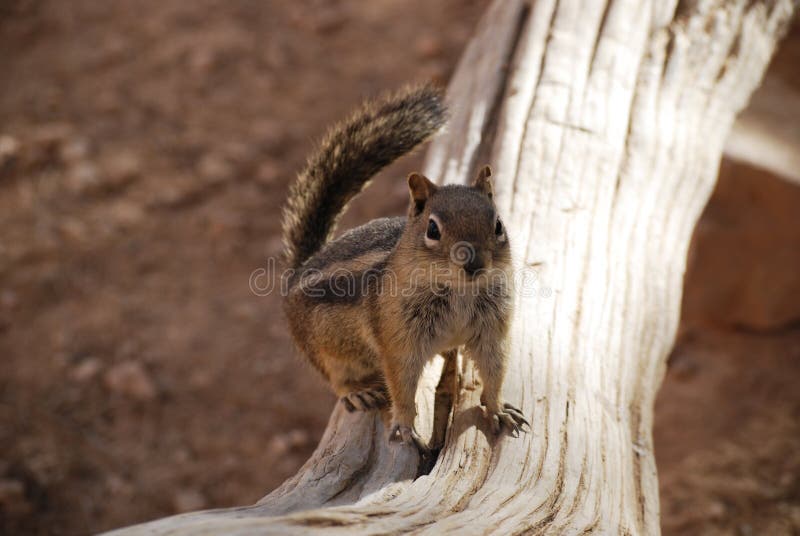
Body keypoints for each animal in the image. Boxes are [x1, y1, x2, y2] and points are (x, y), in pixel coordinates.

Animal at [282, 82, 532, 452]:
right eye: (433, 230)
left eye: (498, 224)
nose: (474, 263)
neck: (459, 291)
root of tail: (300, 269)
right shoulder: (400, 339)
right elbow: (401, 384)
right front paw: (402, 426)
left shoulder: (492, 330)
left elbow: (494, 371)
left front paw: (499, 409)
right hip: (327, 352)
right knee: (336, 378)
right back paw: (357, 392)